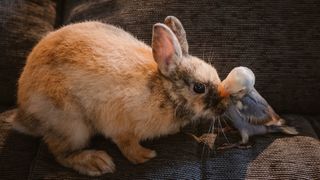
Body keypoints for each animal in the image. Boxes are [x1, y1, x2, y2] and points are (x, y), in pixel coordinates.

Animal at [13, 16, 228, 176]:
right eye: (199, 88)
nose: (223, 108)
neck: (165, 90)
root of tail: (23, 115)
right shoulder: (121, 127)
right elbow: (127, 145)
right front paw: (144, 156)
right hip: (71, 125)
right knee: (61, 154)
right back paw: (97, 162)